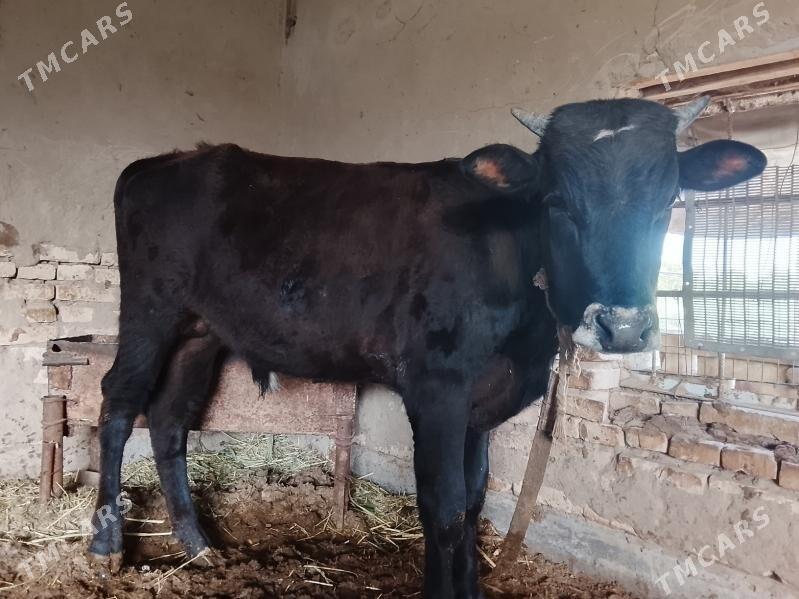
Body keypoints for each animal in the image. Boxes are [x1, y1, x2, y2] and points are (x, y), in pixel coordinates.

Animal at [88, 96, 765, 598]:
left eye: (669, 201)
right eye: (555, 202)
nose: (622, 326)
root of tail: (165, 161)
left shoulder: (484, 400)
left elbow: (474, 502)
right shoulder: (436, 386)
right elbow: (442, 508)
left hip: (201, 329)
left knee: (170, 419)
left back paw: (198, 547)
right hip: (149, 308)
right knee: (119, 402)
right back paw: (105, 543)